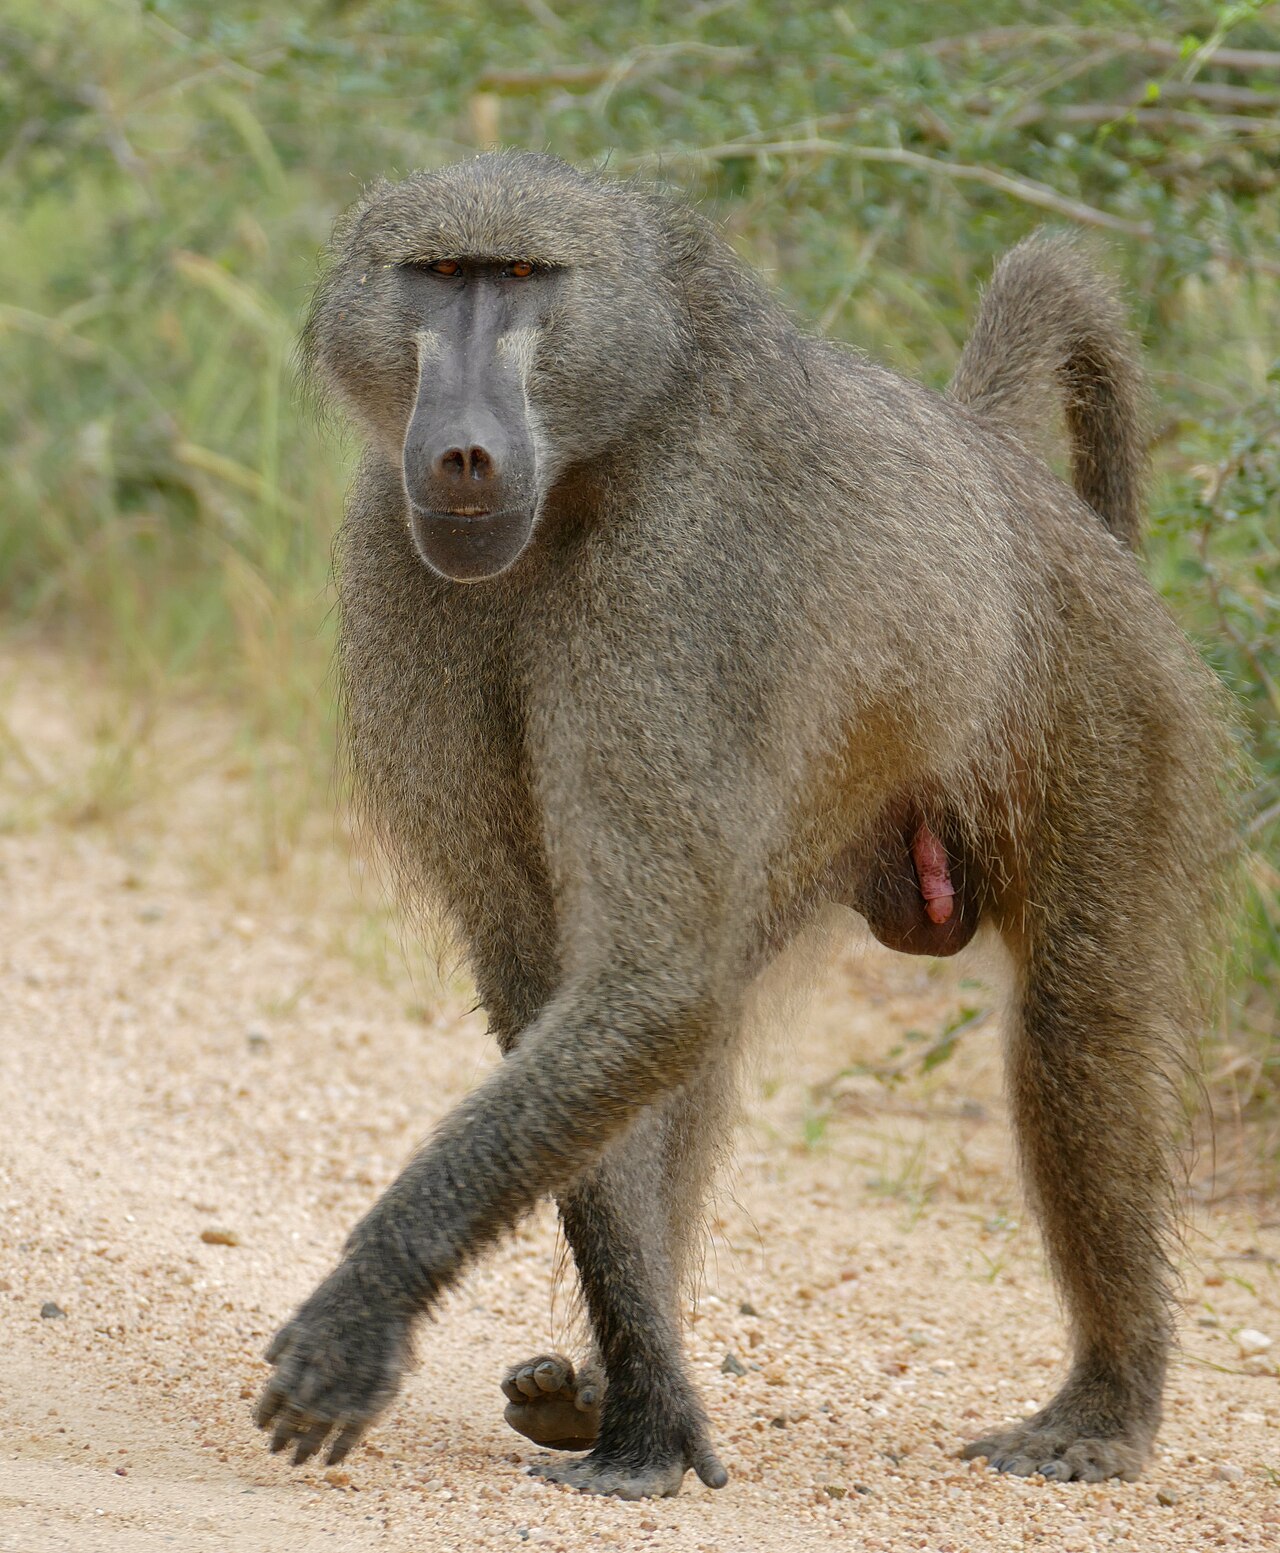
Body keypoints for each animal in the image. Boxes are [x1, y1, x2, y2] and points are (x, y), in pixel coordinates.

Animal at [254, 150, 1235, 1499]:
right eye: (439, 273)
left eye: (522, 277)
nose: (458, 452)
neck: (591, 469)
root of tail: (999, 467)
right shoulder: (401, 571)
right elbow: (574, 984)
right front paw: (647, 1417)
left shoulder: (677, 582)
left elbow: (651, 982)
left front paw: (367, 1308)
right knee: (685, 1037)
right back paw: (599, 1381)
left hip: (1109, 705)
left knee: (1070, 1029)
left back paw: (1105, 1405)